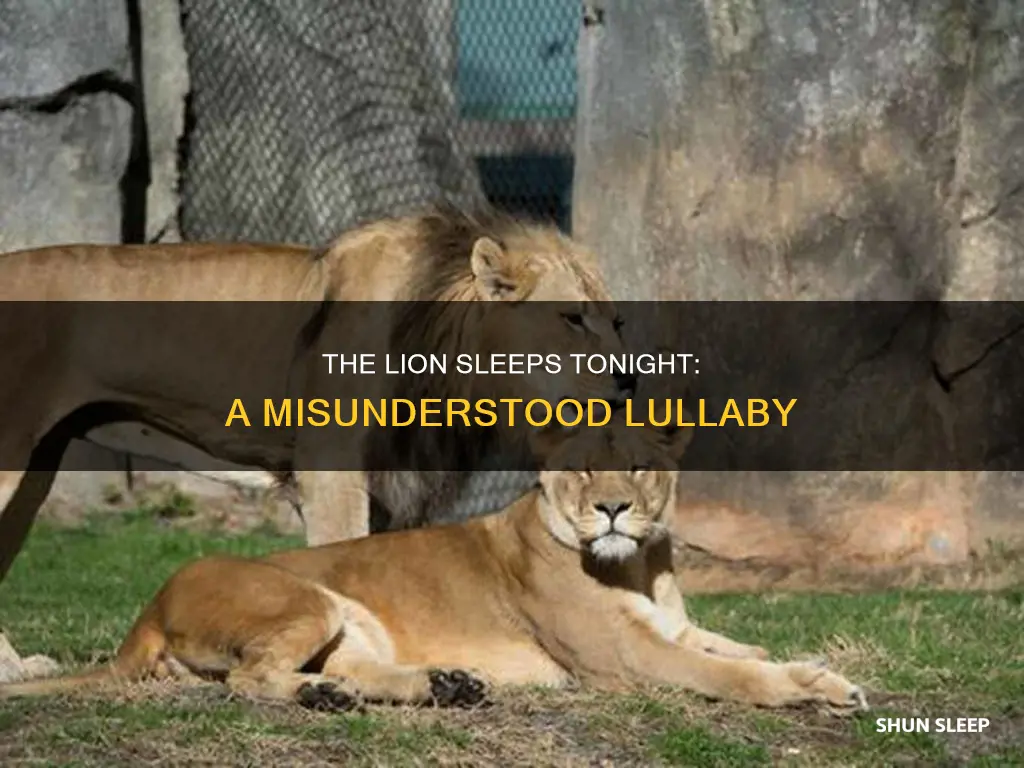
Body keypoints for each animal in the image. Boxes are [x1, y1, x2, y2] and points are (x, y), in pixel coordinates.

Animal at [0, 205, 633, 586]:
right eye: (572, 319)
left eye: (616, 321)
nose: (628, 380)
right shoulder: (331, 465)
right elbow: (339, 550)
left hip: (39, 463)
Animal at [0, 419, 868, 712]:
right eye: (584, 468)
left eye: (639, 466)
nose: (614, 508)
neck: (639, 565)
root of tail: (147, 609)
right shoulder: (625, 657)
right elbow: (731, 672)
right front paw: (804, 691)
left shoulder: (669, 628)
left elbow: (739, 647)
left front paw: (822, 671)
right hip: (305, 598)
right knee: (249, 678)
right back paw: (328, 698)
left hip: (348, 624)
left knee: (348, 670)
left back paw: (441, 685)